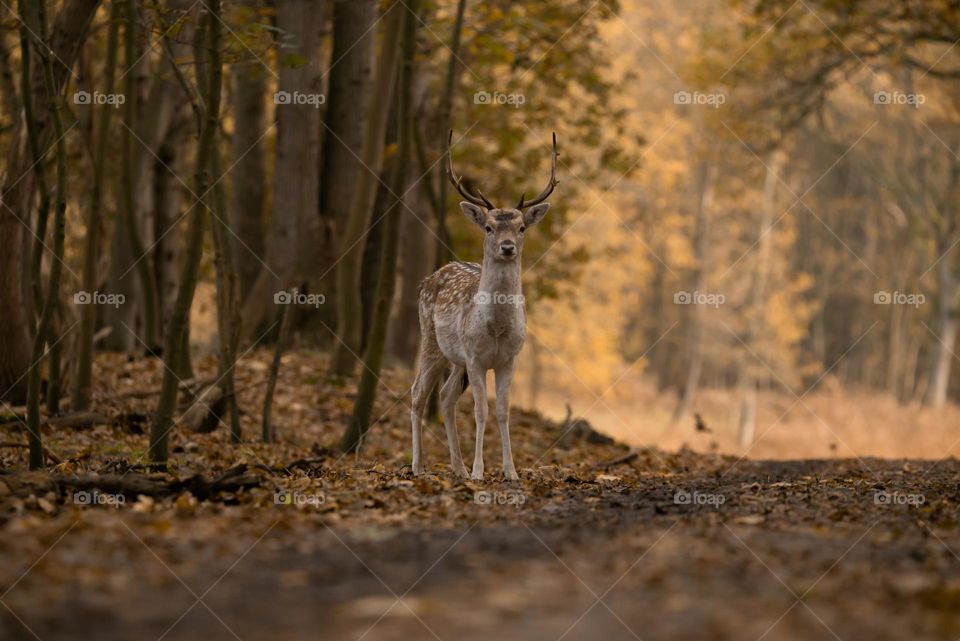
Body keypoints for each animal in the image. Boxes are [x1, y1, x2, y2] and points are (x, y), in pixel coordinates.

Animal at [410, 130, 558, 481]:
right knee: (418, 393)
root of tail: (430, 277)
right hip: (431, 340)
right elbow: (481, 411)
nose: (507, 246)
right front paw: (480, 471)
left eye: (521, 228)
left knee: (445, 397)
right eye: (489, 227)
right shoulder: (476, 358)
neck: (497, 329)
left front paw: (510, 471)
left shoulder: (510, 359)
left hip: (456, 360)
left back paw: (458, 468)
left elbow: (503, 412)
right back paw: (418, 465)